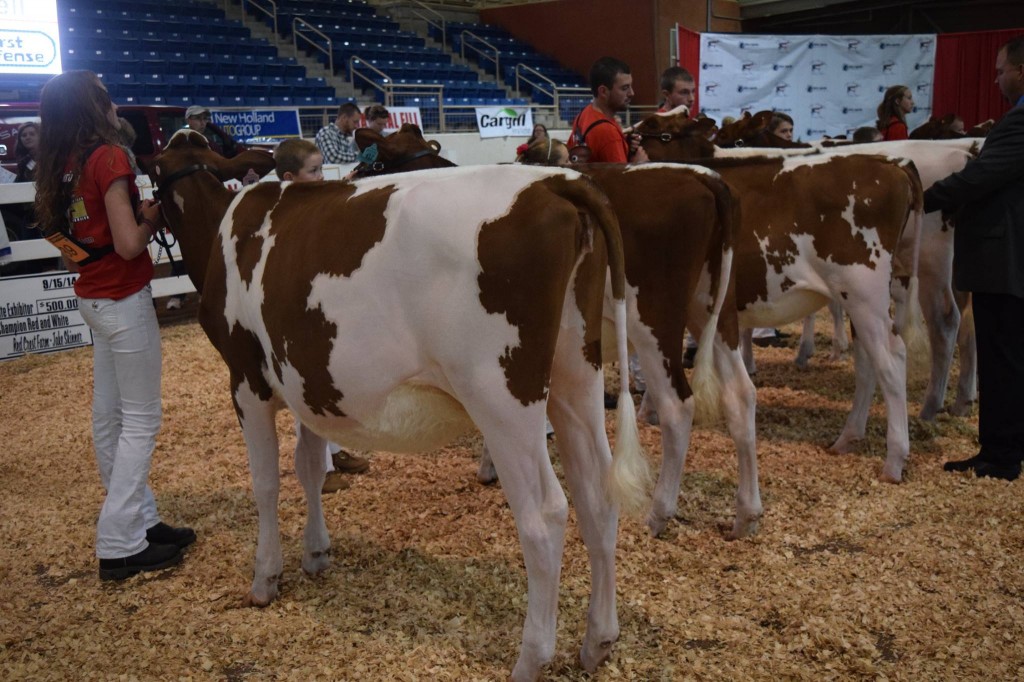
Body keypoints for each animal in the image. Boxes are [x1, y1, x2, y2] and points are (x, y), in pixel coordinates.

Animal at [150, 129, 647, 681]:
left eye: (150, 169)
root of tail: (556, 183)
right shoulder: (306, 381)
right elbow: (308, 467)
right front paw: (315, 552)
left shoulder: (245, 378)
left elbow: (265, 483)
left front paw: (265, 576)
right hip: (576, 374)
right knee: (597, 493)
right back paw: (599, 639)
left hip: (501, 394)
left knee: (545, 515)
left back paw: (530, 659)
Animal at [356, 127, 763, 539]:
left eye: (373, 163)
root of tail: (703, 175)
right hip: (711, 306)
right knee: (740, 393)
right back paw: (746, 513)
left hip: (653, 319)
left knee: (678, 407)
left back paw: (659, 513)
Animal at [634, 112, 925, 483]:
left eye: (661, 132)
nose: (632, 140)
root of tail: (890, 163)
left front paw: (649, 410)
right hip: (856, 299)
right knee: (867, 362)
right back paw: (847, 438)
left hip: (865, 292)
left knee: (891, 359)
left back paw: (894, 460)